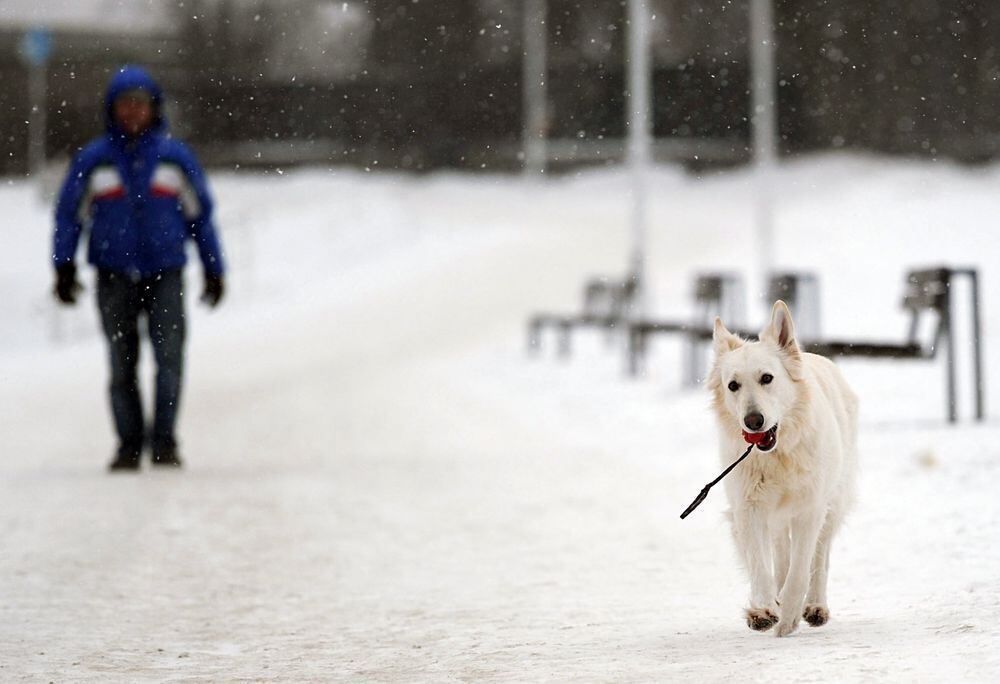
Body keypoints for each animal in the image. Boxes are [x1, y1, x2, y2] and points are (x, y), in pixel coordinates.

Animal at [704, 300, 860, 636]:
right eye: (733, 385)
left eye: (767, 378)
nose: (754, 421)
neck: (778, 457)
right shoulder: (748, 508)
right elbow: (761, 565)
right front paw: (764, 608)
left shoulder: (811, 509)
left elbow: (801, 570)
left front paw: (788, 613)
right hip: (775, 518)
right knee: (779, 555)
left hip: (833, 502)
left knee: (819, 559)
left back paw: (814, 606)